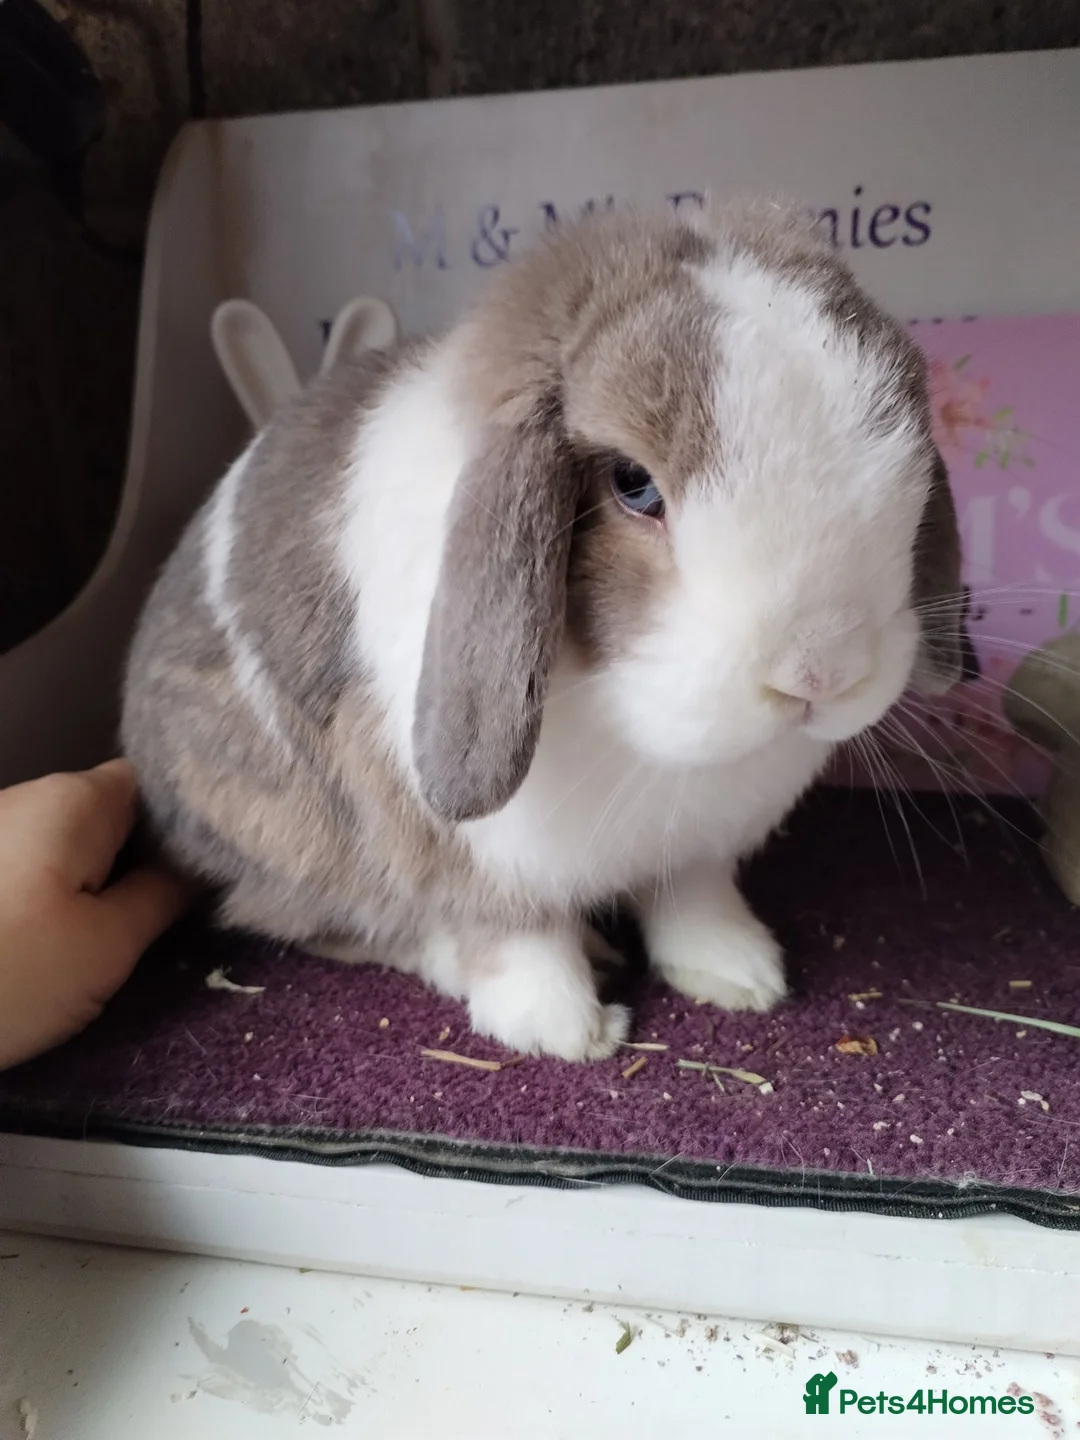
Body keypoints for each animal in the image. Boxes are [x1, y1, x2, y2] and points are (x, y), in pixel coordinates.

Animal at [121, 198, 963, 1062]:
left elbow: (695, 900)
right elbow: (518, 937)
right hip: (280, 837)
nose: (820, 674)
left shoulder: (696, 849)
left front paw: (740, 976)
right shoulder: (476, 856)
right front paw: (567, 1032)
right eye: (633, 485)